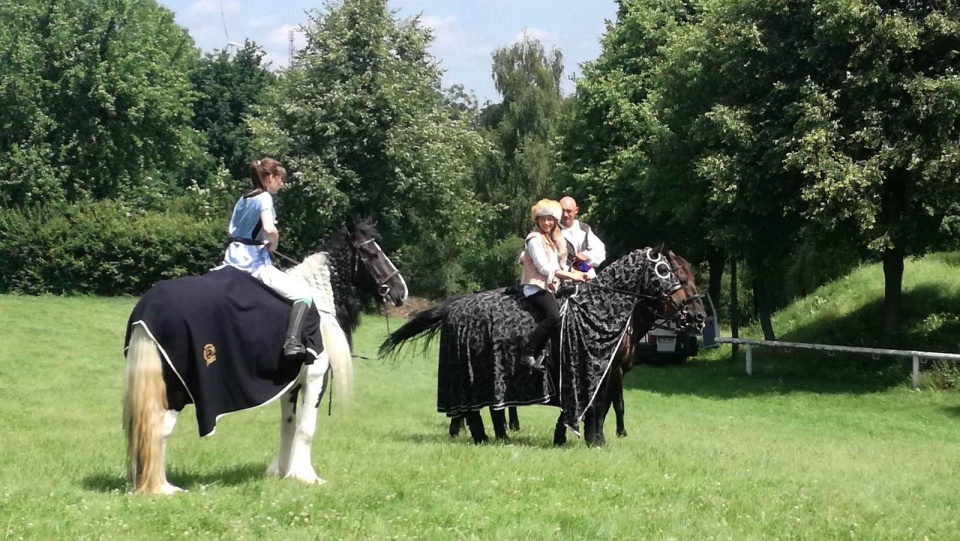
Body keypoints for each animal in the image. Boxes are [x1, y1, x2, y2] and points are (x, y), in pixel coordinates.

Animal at [122, 218, 406, 494]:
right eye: (372, 253)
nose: (400, 291)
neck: (316, 295)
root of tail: (148, 310)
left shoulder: (291, 386)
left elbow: (288, 426)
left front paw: (284, 472)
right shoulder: (315, 378)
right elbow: (306, 428)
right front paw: (306, 476)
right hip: (175, 392)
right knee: (159, 430)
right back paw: (162, 487)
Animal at [380, 247, 704, 446]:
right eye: (670, 272)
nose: (698, 316)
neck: (601, 309)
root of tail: (455, 307)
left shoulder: (604, 371)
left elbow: (601, 405)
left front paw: (575, 436)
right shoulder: (600, 369)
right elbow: (600, 405)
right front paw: (594, 439)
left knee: (487, 409)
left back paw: (498, 436)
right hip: (469, 377)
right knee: (473, 412)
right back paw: (483, 437)